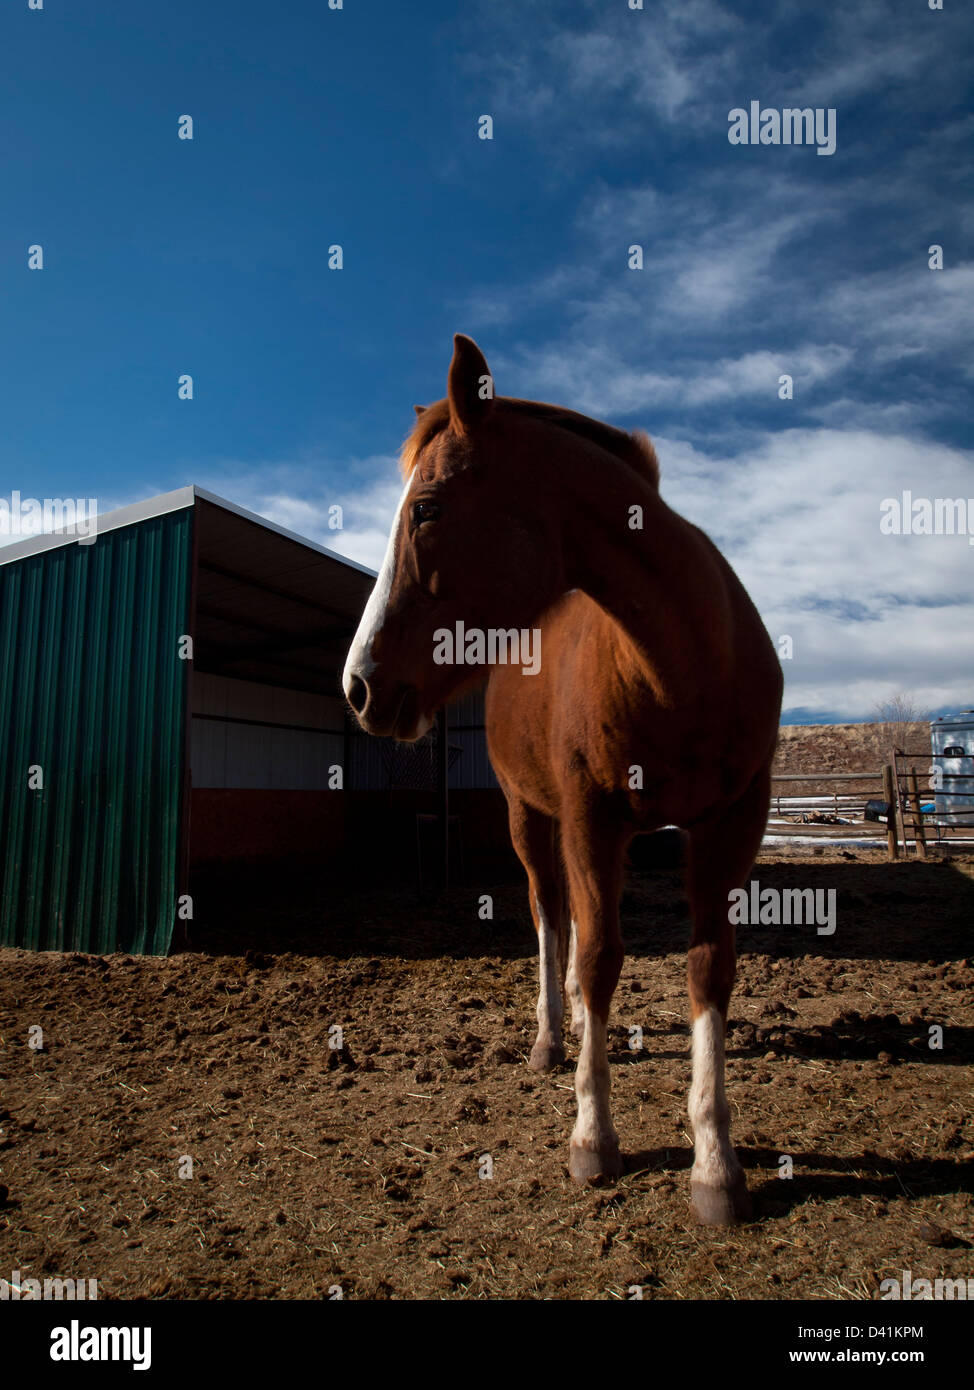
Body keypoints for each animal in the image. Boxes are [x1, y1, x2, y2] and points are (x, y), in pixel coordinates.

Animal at [343, 334, 782, 1225]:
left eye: (428, 508)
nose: (359, 685)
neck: (681, 667)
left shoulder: (732, 823)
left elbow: (707, 966)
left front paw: (715, 1165)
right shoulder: (589, 818)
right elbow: (598, 956)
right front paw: (593, 1137)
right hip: (530, 819)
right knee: (552, 919)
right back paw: (554, 1036)